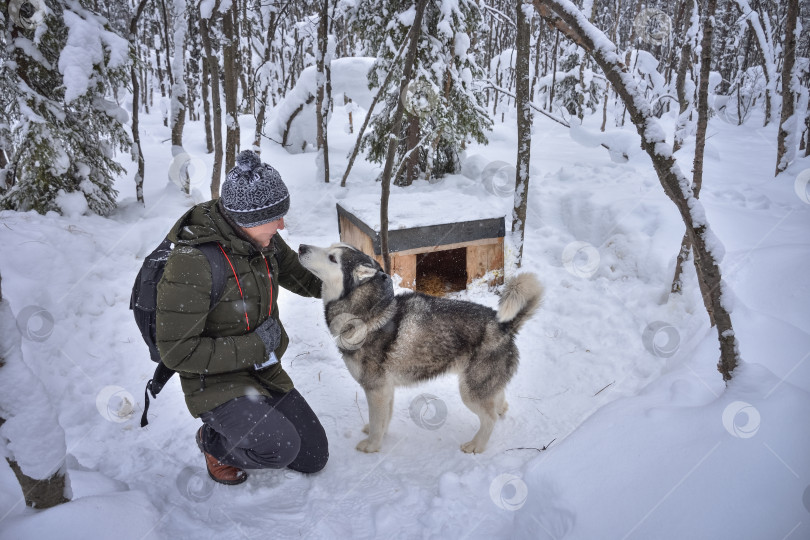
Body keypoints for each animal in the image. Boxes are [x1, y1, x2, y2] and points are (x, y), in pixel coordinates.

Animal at [298, 244, 544, 452]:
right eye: (329, 249)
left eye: (332, 258)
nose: (301, 247)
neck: (367, 314)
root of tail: (505, 325)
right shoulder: (386, 389)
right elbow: (384, 419)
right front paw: (377, 435)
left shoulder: (376, 389)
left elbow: (378, 422)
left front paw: (372, 446)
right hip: (482, 385)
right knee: (499, 402)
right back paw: (499, 410)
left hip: (469, 392)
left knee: (489, 419)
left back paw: (476, 445)